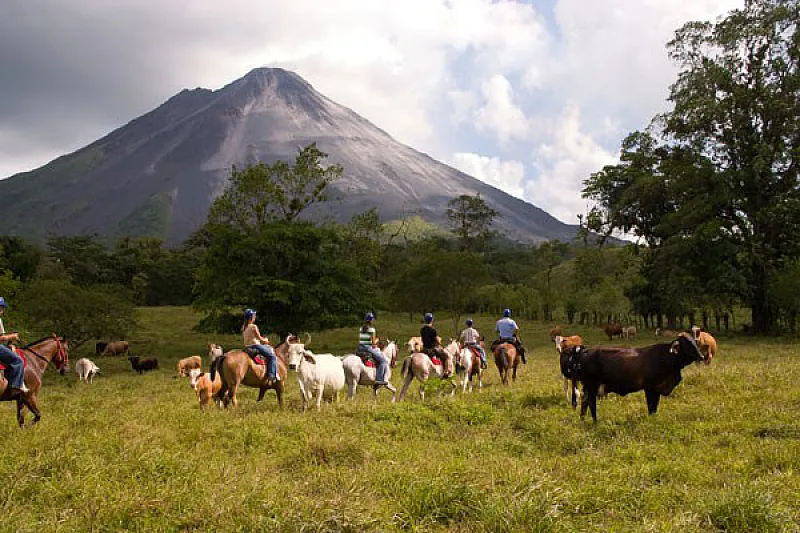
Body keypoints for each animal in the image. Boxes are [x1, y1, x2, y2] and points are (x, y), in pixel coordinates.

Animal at [568, 330, 708, 422]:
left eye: (694, 342)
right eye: (686, 343)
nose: (701, 356)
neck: (666, 357)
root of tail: (585, 351)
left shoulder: (657, 389)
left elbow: (654, 408)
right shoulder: (649, 388)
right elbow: (651, 407)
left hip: (588, 387)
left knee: (584, 402)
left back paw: (582, 421)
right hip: (592, 385)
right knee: (591, 403)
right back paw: (595, 422)